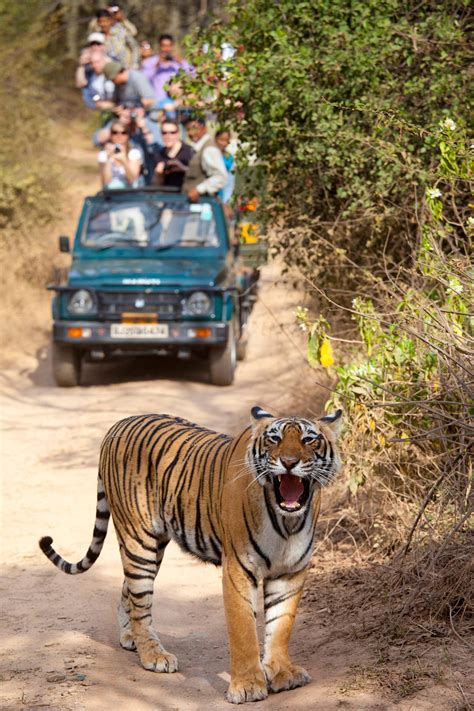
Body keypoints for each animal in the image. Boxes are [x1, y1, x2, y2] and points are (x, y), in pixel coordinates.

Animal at [39, 405, 342, 704]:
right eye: (274, 439)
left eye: (309, 440)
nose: (289, 462)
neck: (286, 522)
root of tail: (119, 423)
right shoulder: (238, 569)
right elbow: (243, 630)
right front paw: (247, 686)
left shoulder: (291, 571)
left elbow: (280, 626)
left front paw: (283, 673)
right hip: (138, 540)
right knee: (141, 599)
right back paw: (153, 655)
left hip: (152, 546)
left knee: (129, 591)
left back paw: (130, 637)